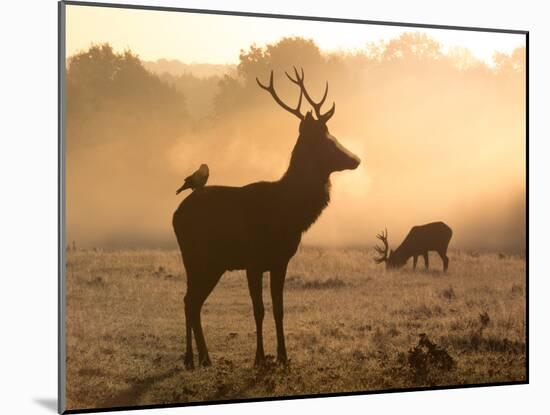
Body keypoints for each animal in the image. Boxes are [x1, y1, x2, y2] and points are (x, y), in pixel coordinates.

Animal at [172, 69, 362, 370]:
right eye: (326, 141)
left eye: (331, 135)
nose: (355, 159)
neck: (288, 213)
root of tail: (175, 215)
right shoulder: (253, 261)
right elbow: (258, 309)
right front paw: (260, 358)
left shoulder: (280, 261)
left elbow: (279, 309)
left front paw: (283, 356)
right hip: (196, 257)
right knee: (189, 300)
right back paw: (193, 358)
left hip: (211, 264)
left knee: (193, 301)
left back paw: (204, 357)